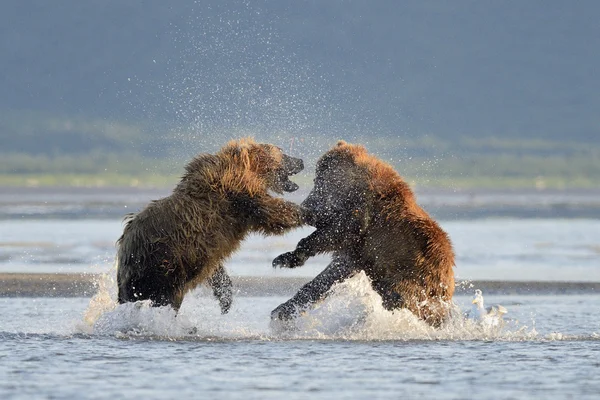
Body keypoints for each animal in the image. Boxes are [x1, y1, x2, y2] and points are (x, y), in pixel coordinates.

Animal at [116, 138, 308, 312]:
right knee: (167, 295)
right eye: (282, 152)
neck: (247, 169)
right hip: (163, 261)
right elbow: (271, 211)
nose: (300, 161)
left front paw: (226, 297)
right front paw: (306, 210)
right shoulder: (236, 193)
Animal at [272, 141, 454, 328]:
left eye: (320, 183)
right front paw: (282, 310)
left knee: (401, 298)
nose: (307, 206)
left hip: (414, 276)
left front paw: (286, 258)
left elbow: (337, 232)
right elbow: (331, 273)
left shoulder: (363, 214)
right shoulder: (358, 252)